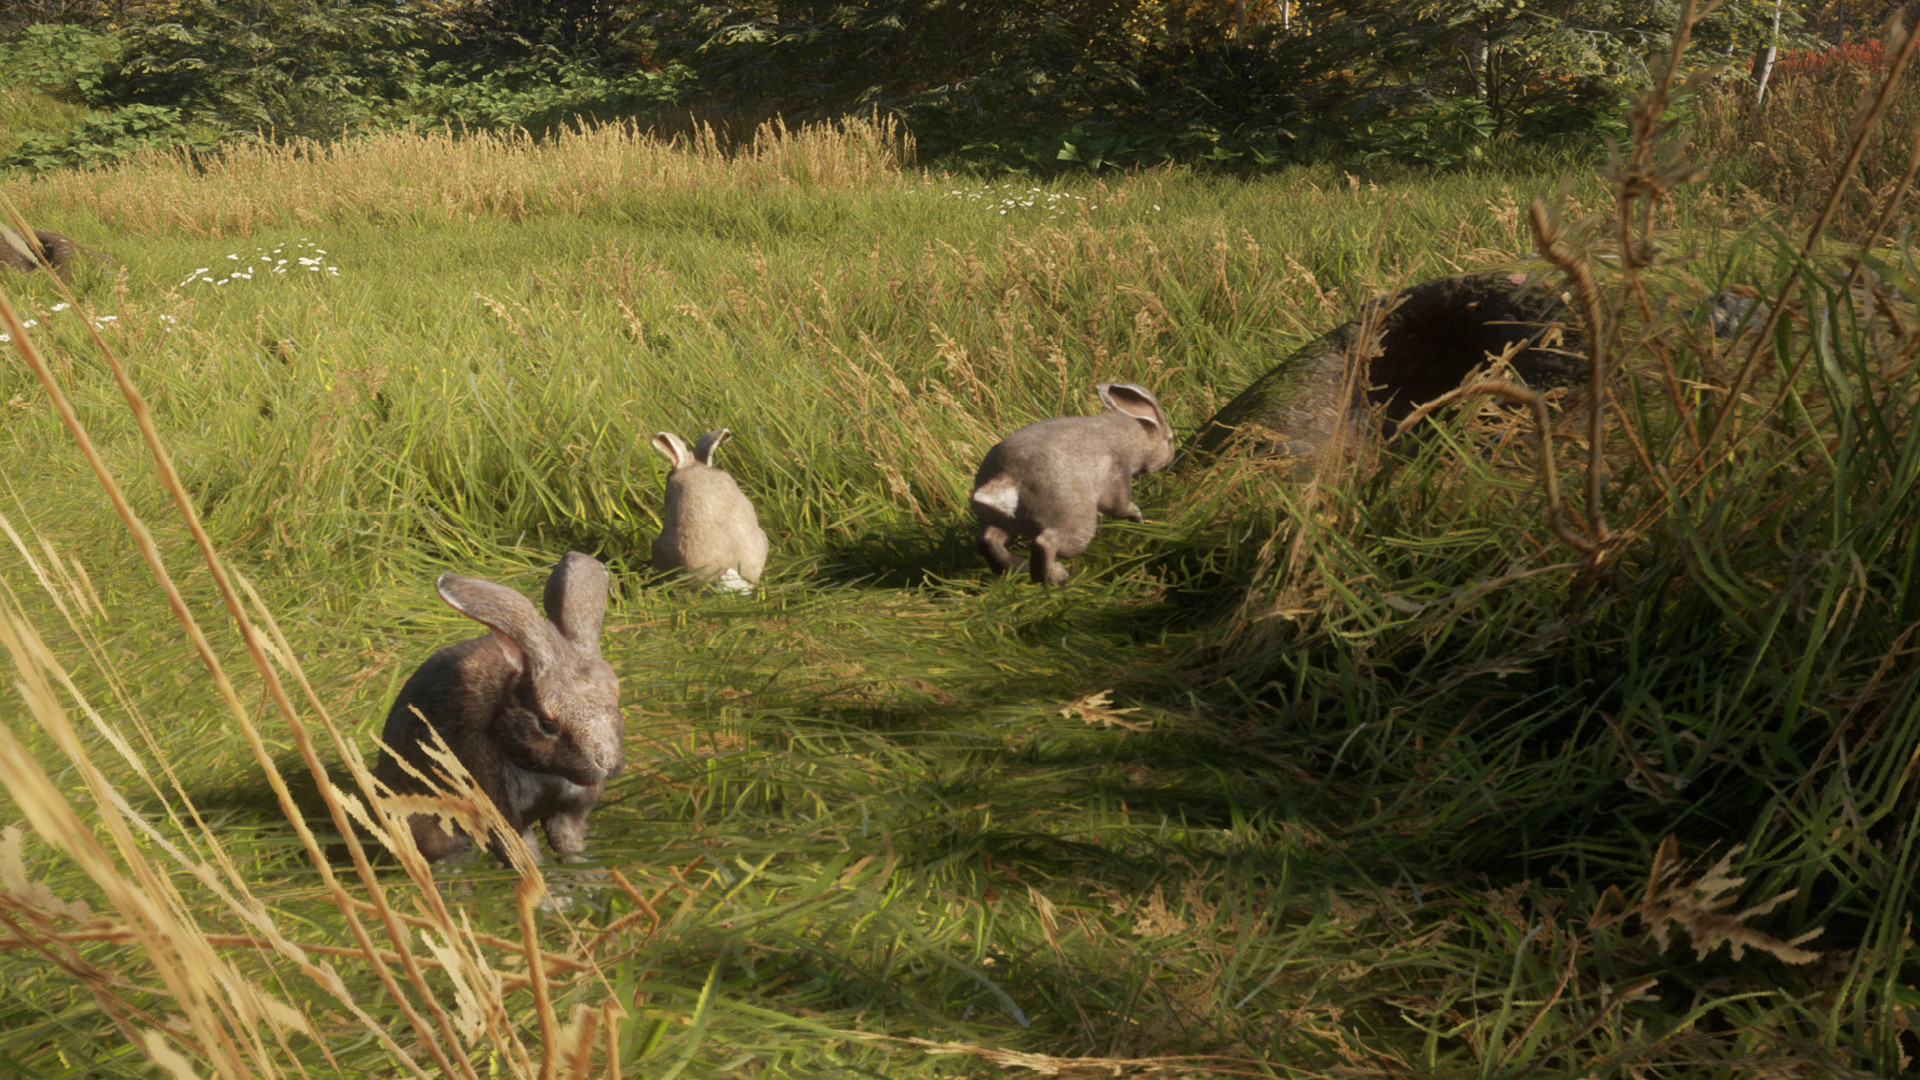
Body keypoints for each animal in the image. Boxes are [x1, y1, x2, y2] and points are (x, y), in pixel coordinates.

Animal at [374, 552, 625, 864]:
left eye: (616, 699)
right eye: (547, 724)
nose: (609, 764)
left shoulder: (570, 810)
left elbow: (567, 840)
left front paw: (581, 866)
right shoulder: (498, 811)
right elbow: (524, 851)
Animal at [971, 382, 1175, 585]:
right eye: (1170, 439)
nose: (1171, 455)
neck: (1137, 436)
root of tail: (1006, 478)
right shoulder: (1116, 479)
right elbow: (1122, 506)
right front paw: (1140, 521)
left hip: (1003, 522)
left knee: (988, 540)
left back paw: (1017, 568)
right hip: (1074, 524)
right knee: (1045, 543)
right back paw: (1058, 576)